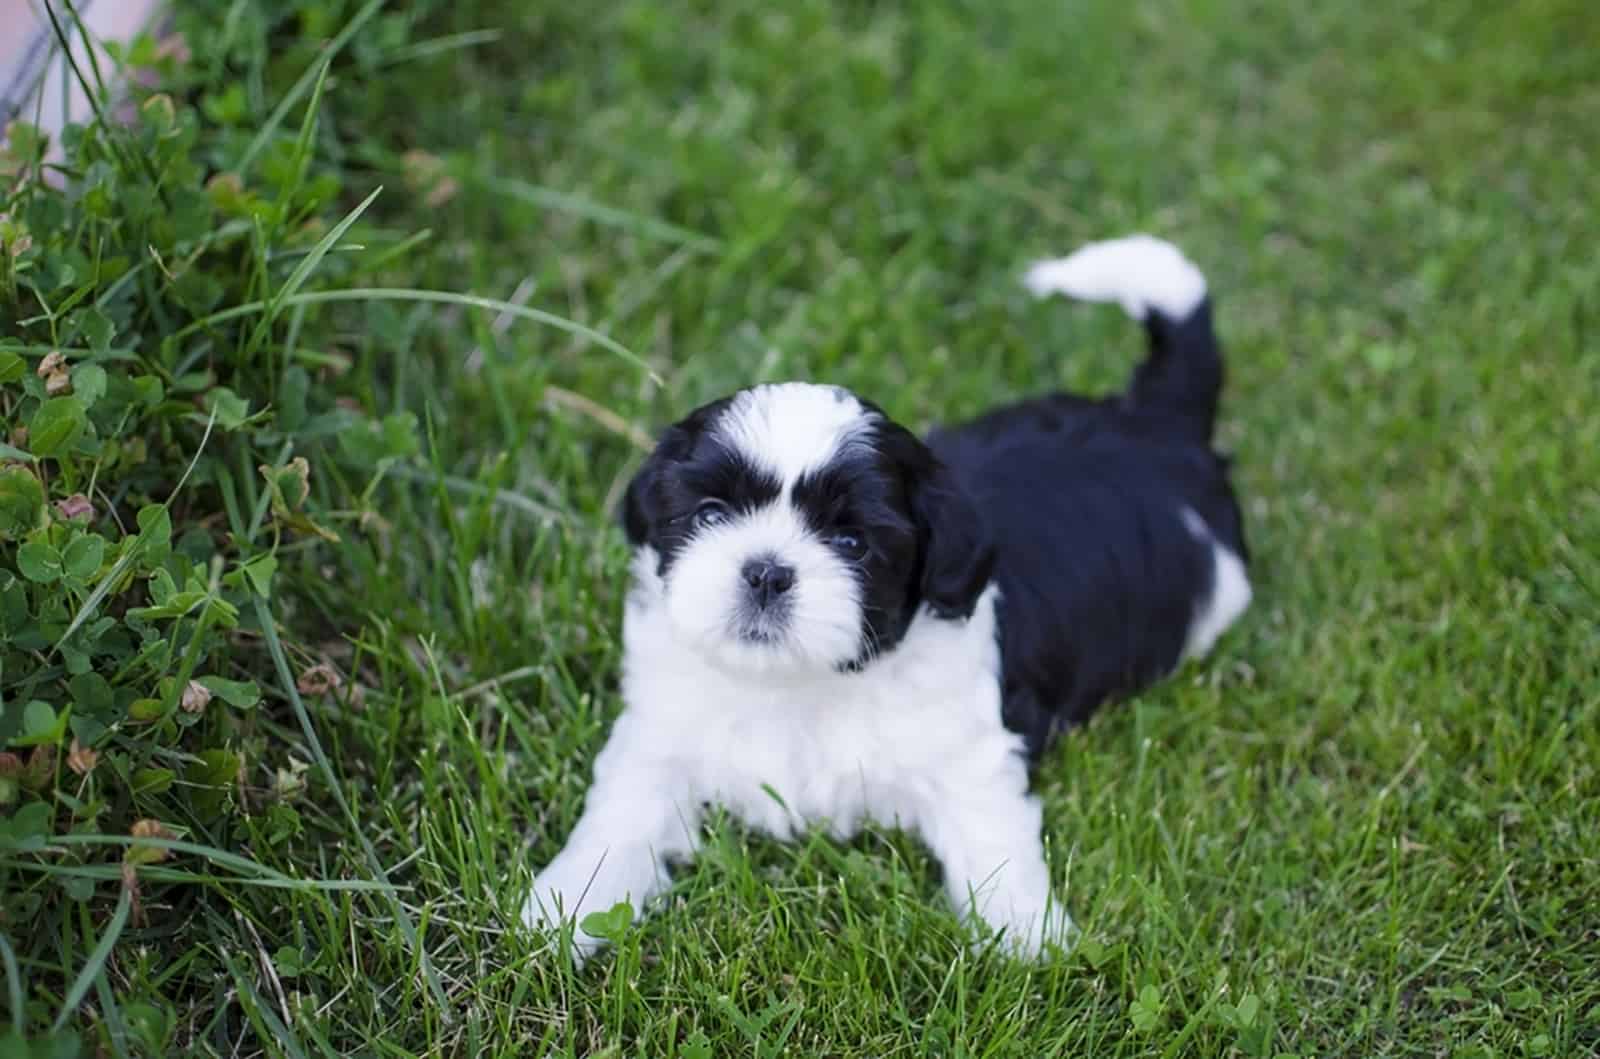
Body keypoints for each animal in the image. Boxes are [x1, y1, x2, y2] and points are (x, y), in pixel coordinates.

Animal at [524, 235, 1248, 959]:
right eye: (707, 514)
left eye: (851, 542)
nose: (766, 572)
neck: (795, 685)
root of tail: (1154, 422)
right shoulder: (660, 732)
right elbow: (623, 811)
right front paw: (566, 904)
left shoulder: (969, 748)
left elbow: (992, 836)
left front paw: (1026, 939)